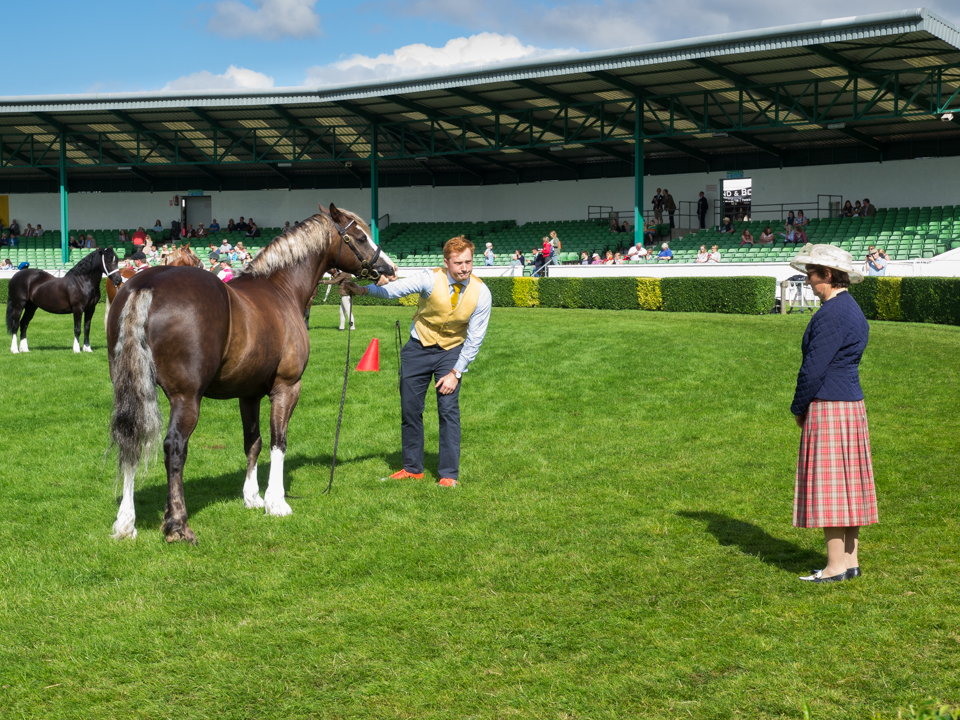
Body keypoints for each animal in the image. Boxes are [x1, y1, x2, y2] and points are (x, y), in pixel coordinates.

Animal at [107, 203, 397, 543]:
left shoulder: (249, 394)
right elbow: (278, 441)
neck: (281, 289)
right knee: (175, 447)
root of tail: (144, 285)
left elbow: (253, 442)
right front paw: (276, 501)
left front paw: (252, 497)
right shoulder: (287, 387)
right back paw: (178, 524)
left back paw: (126, 522)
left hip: (132, 389)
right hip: (186, 398)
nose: (388, 269)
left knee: (131, 439)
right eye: (360, 237)